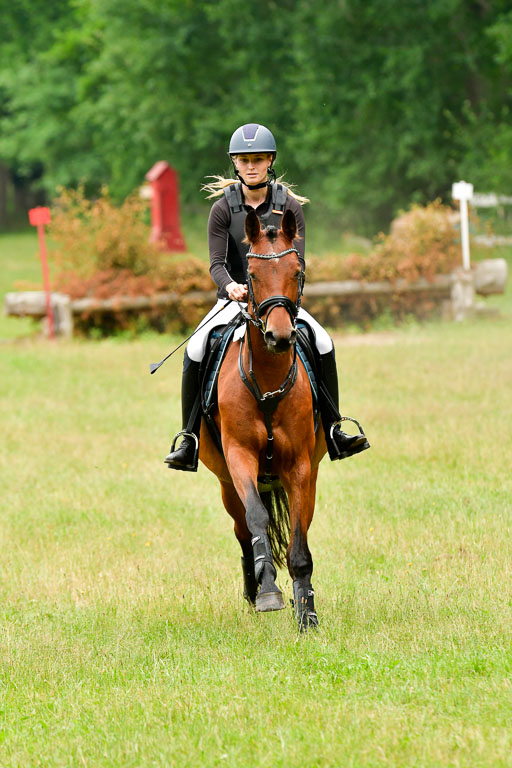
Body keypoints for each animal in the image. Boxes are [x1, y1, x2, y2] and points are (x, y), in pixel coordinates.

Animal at [201, 208, 328, 632]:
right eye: (252, 275)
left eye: (296, 270)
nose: (279, 337)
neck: (269, 380)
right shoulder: (239, 458)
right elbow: (257, 519)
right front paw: (269, 592)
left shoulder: (300, 467)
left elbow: (299, 544)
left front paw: (306, 613)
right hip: (227, 484)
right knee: (244, 530)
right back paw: (254, 588)